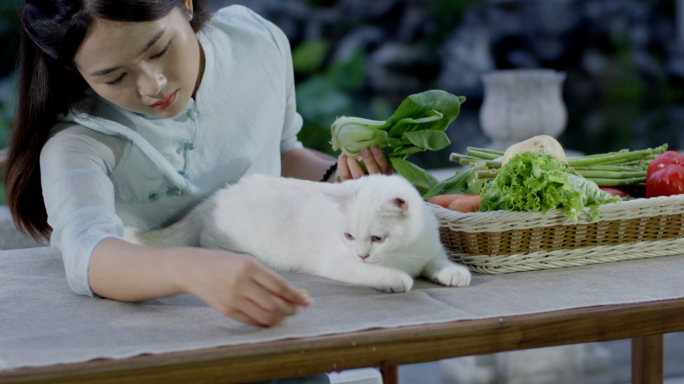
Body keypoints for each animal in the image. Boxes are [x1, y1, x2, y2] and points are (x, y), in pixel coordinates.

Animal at [124, 174, 470, 292]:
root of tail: (218, 195)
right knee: (208, 244)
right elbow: (378, 273)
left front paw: (453, 272)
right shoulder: (338, 262)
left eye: (378, 238)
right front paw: (396, 278)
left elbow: (438, 261)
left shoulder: (430, 249)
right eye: (348, 236)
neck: (404, 253)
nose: (361, 254)